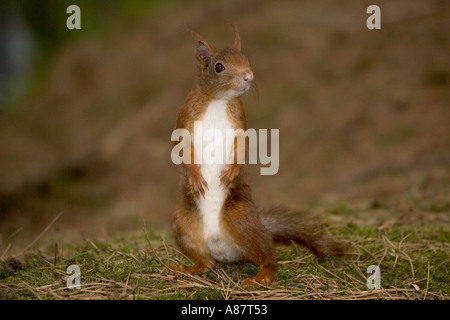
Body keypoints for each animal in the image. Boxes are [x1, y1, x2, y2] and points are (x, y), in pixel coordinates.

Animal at [169, 23, 344, 286]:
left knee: (267, 254)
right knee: (207, 262)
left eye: (247, 60)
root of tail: (221, 248)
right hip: (183, 221)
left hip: (239, 217)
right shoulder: (186, 115)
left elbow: (244, 144)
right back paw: (190, 268)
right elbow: (180, 144)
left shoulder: (240, 121)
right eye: (218, 67)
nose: (248, 76)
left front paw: (233, 168)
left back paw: (262, 275)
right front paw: (194, 174)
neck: (218, 101)